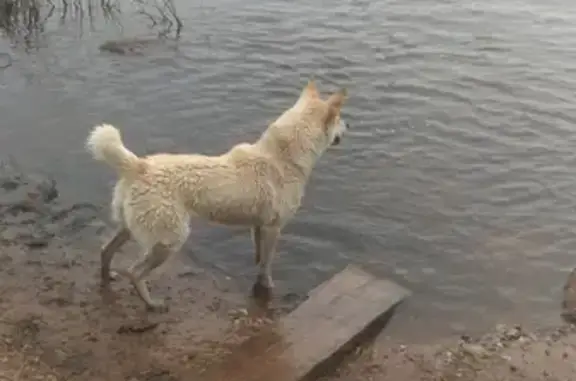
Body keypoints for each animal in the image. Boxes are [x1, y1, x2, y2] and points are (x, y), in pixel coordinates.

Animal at [85, 78, 346, 310]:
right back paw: (151, 304)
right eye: (339, 119)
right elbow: (267, 265)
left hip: (132, 226)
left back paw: (107, 280)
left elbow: (259, 256)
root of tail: (138, 165)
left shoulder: (259, 226)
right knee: (134, 272)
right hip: (170, 238)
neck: (283, 156)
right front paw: (267, 287)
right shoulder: (273, 228)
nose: (349, 126)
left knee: (106, 251)